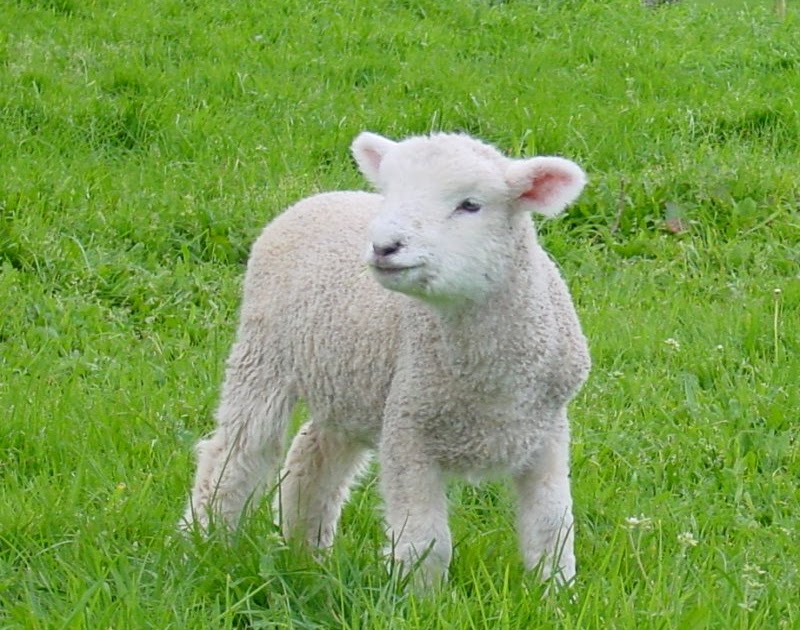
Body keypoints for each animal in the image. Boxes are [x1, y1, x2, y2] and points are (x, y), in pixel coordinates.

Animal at [182, 131, 591, 587]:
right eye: (390, 193)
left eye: (470, 205)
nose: (384, 247)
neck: (489, 378)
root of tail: (321, 198)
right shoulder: (408, 427)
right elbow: (425, 542)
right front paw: (422, 599)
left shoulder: (547, 429)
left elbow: (551, 528)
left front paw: (556, 593)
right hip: (263, 352)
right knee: (237, 451)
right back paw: (205, 540)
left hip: (349, 383)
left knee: (313, 452)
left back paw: (304, 552)